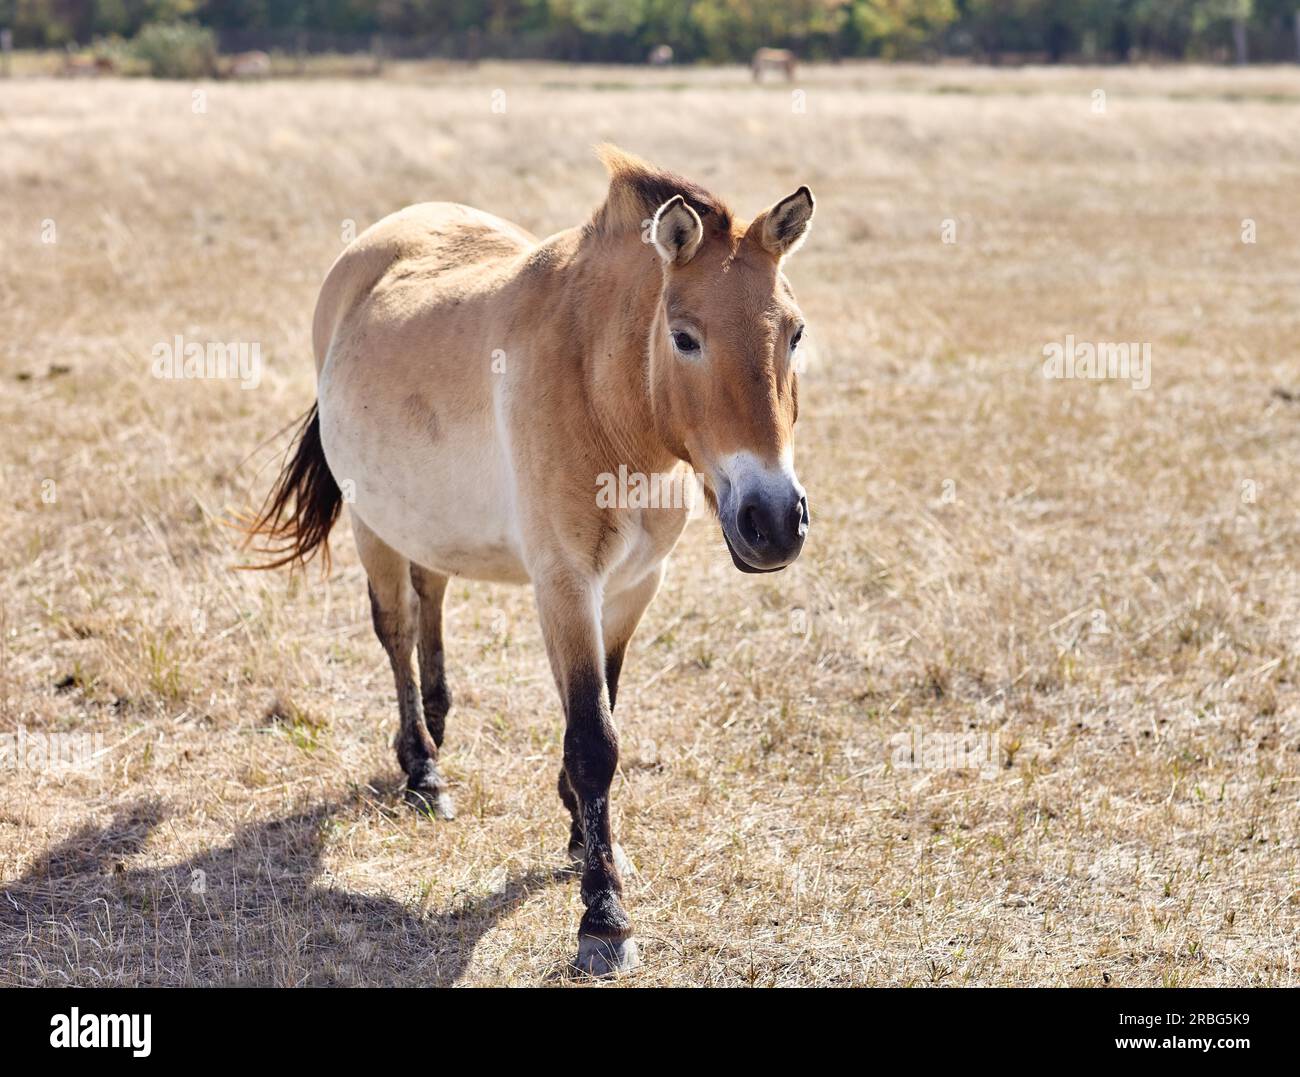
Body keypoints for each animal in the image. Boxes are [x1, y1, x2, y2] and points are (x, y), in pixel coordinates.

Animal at [244, 143, 811, 978]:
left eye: (795, 335)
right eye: (684, 336)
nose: (773, 523)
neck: (605, 396)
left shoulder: (633, 586)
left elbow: (605, 706)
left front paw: (581, 830)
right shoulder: (565, 583)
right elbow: (594, 738)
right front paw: (603, 916)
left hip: (426, 516)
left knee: (431, 593)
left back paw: (440, 720)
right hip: (372, 523)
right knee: (396, 627)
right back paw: (423, 769)